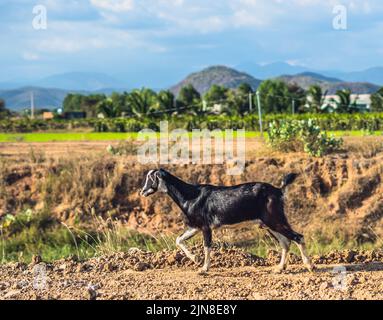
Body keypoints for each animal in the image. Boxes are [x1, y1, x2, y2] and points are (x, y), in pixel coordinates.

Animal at [141, 169, 316, 274]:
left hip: (274, 220)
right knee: (285, 242)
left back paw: (309, 266)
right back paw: (280, 268)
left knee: (298, 237)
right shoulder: (195, 226)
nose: (142, 191)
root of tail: (279, 191)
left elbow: (207, 246)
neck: (191, 195)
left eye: (151, 178)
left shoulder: (206, 227)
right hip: (269, 224)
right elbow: (179, 240)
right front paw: (195, 258)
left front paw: (204, 269)